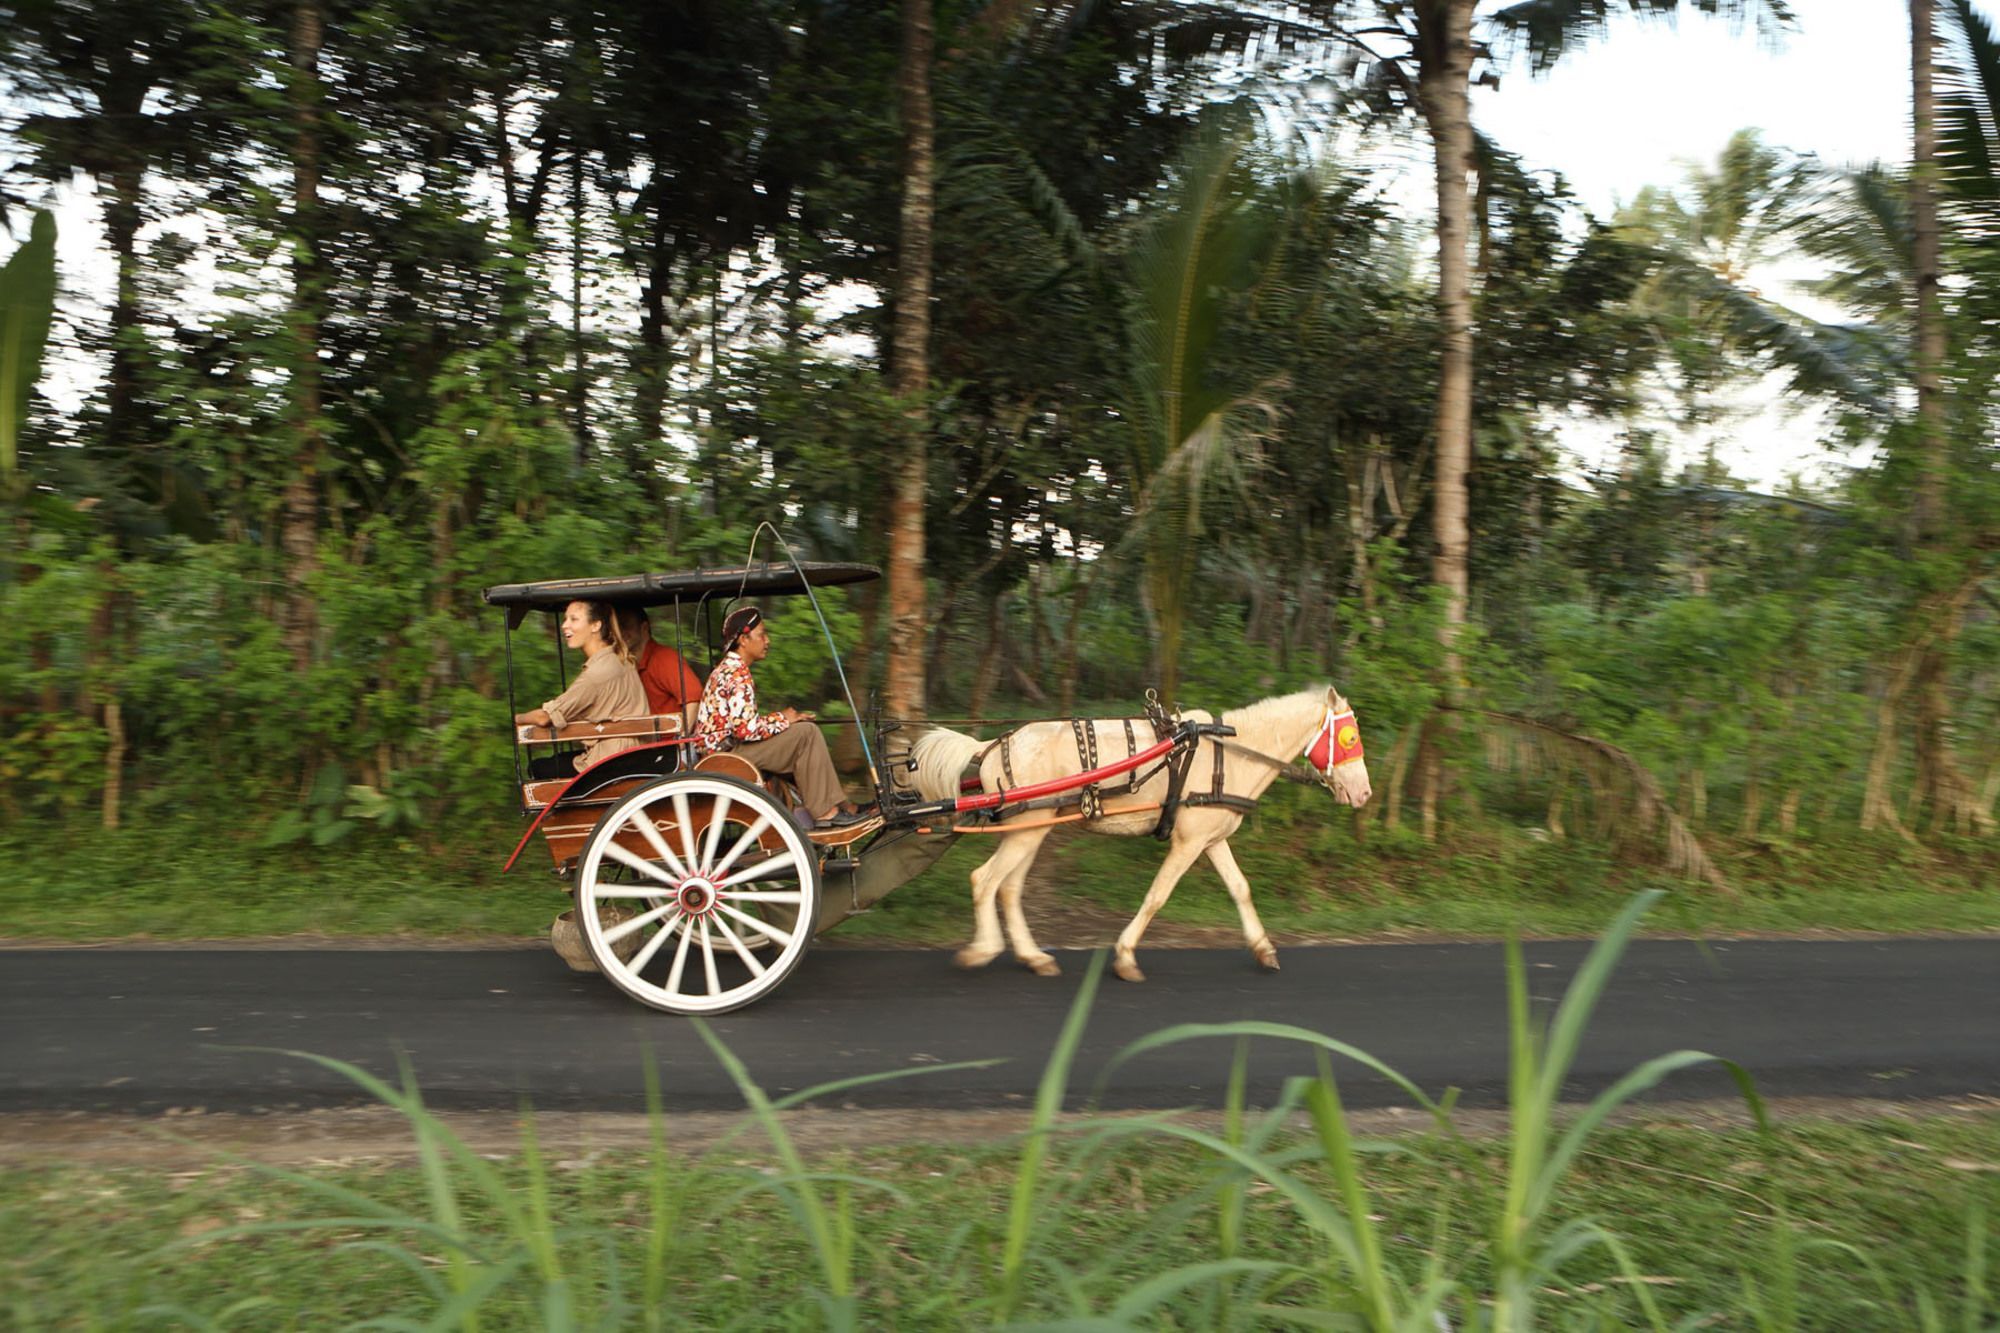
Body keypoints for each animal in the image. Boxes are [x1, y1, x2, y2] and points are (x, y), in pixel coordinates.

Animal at [912, 684, 1368, 976]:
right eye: (1349, 737)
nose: (1364, 793)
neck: (1231, 751)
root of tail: (989, 747)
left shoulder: (1212, 838)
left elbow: (1240, 888)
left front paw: (1263, 948)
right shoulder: (1188, 841)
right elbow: (1157, 895)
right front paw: (1126, 955)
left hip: (1032, 828)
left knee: (1007, 887)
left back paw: (1032, 956)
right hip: (1025, 829)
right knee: (985, 880)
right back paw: (983, 949)